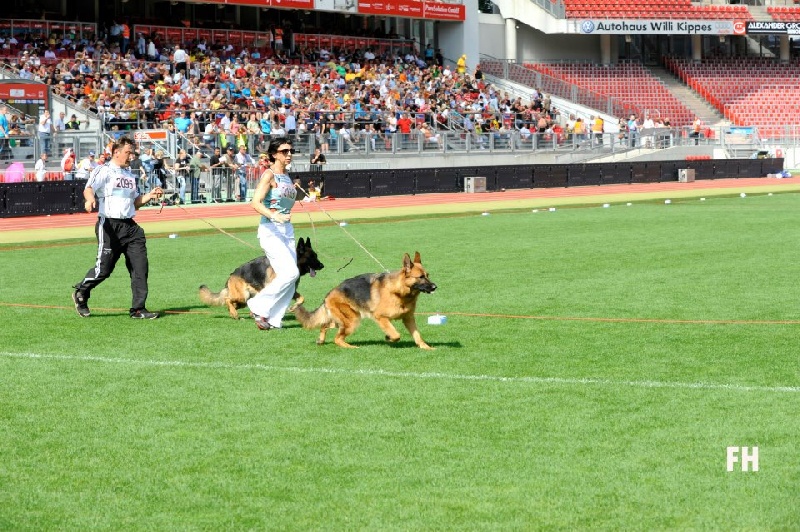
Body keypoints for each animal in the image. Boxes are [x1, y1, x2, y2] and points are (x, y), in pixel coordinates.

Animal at [292, 252, 434, 350]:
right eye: (420, 277)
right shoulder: (380, 317)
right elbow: (396, 335)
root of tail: (329, 294)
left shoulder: (409, 318)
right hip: (352, 320)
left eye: (427, 275)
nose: (435, 287)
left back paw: (321, 340)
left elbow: (417, 335)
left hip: (343, 321)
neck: (399, 291)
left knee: (325, 326)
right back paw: (350, 347)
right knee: (337, 339)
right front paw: (389, 338)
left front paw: (426, 347)